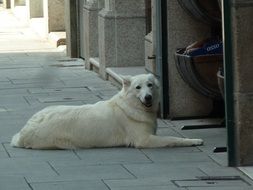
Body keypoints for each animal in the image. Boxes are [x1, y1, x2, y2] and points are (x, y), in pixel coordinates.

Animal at [10, 73, 204, 149]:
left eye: (150, 85)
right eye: (138, 87)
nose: (148, 97)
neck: (130, 106)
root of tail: (23, 132)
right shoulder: (144, 140)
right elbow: (173, 139)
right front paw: (193, 141)